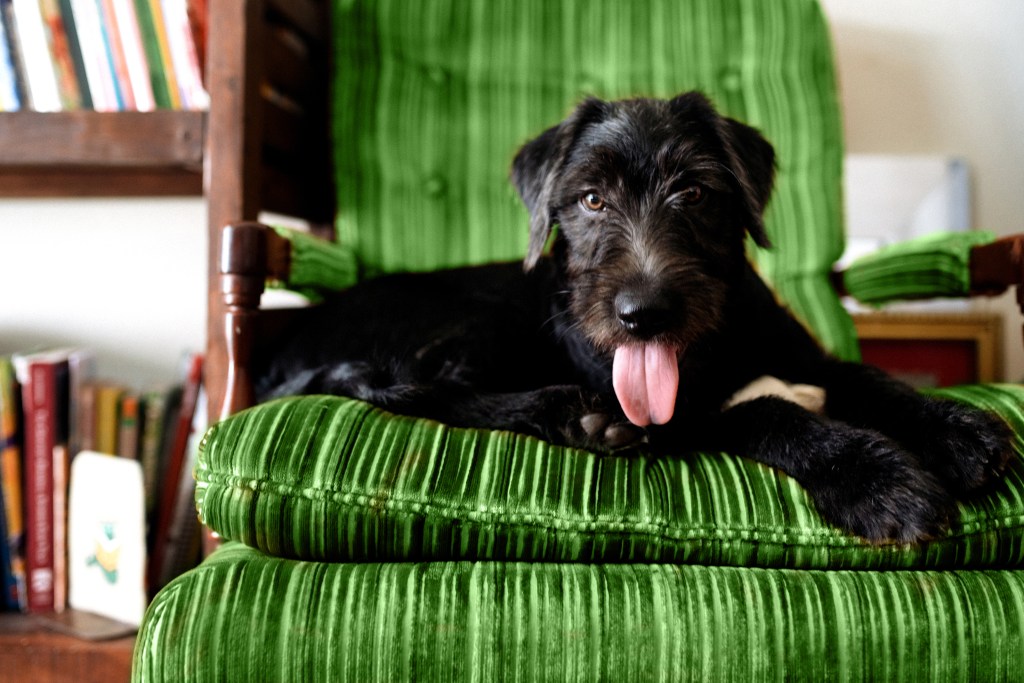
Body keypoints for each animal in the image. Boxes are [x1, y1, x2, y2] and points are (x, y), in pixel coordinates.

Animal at [260, 92, 1011, 544]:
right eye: (591, 199)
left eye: (696, 192)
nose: (643, 314)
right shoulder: (680, 419)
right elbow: (768, 411)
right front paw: (876, 477)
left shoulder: (809, 360)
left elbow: (868, 377)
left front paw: (958, 429)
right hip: (479, 319)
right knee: (432, 391)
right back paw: (571, 414)